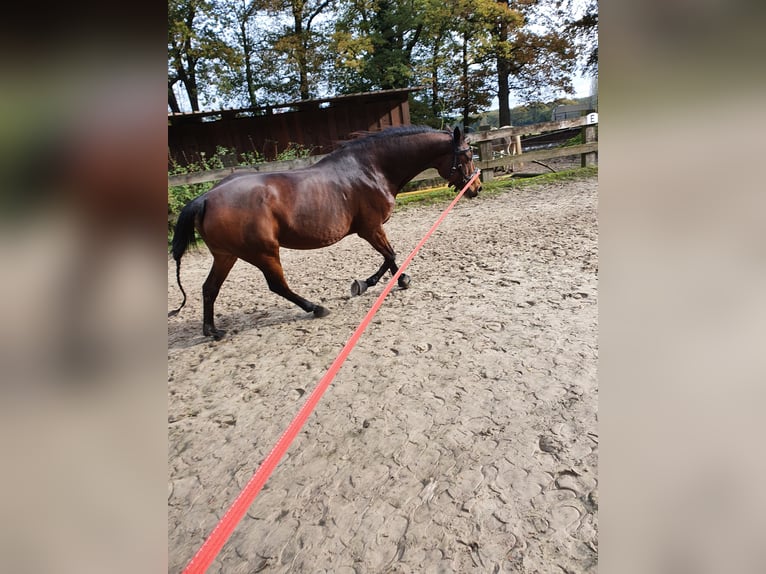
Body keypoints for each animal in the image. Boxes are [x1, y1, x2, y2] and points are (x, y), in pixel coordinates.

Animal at [168, 125, 481, 339]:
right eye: (467, 155)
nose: (476, 188)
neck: (372, 169)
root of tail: (206, 198)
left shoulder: (370, 229)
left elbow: (388, 257)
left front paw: (383, 281)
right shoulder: (370, 228)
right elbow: (390, 254)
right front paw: (381, 282)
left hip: (227, 255)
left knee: (209, 288)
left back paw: (212, 331)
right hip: (263, 252)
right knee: (277, 286)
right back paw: (315, 308)